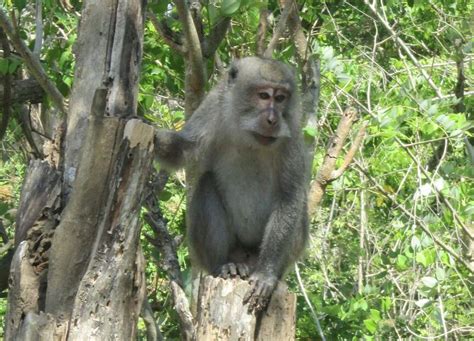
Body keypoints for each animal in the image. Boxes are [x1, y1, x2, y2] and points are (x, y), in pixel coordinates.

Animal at [156, 55, 310, 310]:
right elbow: (184, 149)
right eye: (264, 95)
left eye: (280, 98)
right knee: (206, 184)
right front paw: (151, 135)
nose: (272, 119)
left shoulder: (293, 130)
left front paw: (266, 275)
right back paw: (225, 265)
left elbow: (290, 195)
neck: (250, 134)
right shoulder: (214, 105)